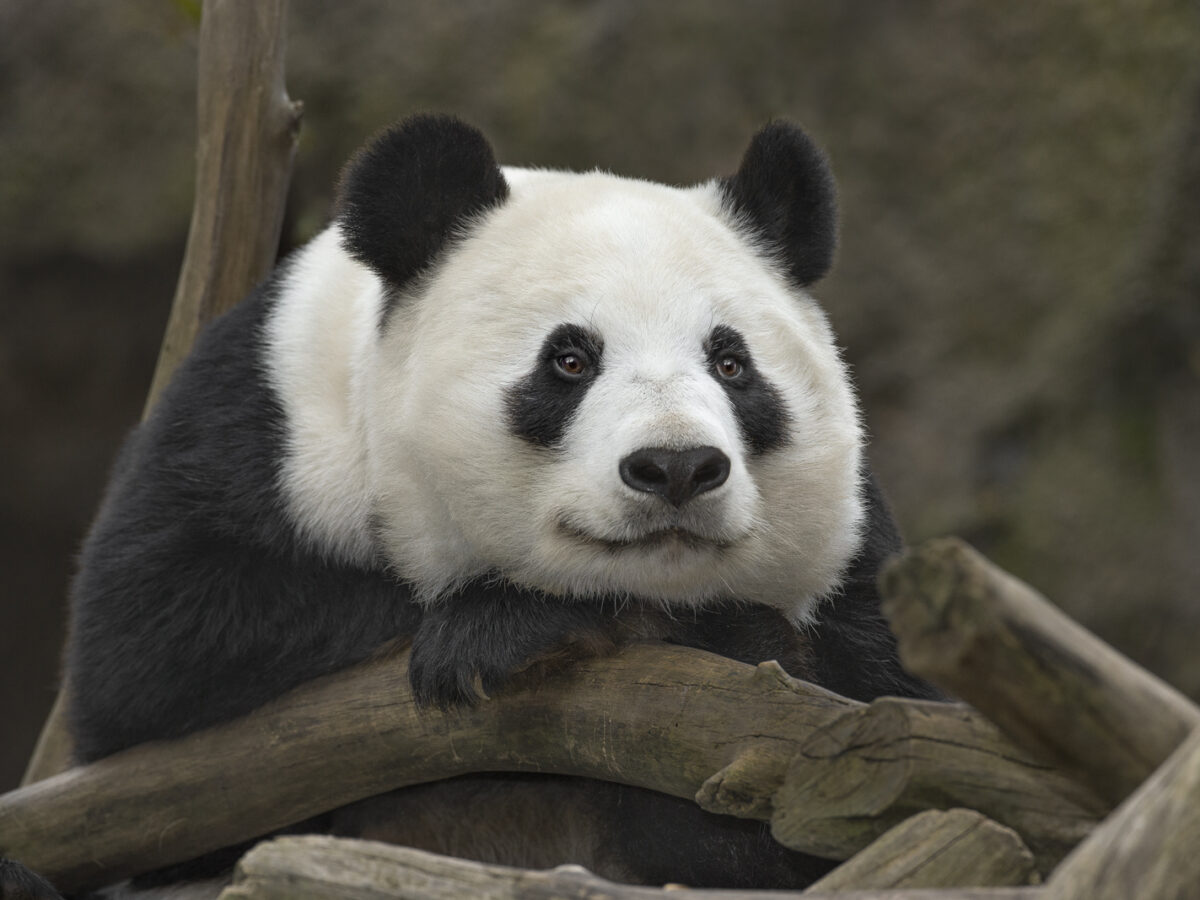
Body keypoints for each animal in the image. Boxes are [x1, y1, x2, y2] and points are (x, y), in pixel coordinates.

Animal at [59, 114, 935, 894]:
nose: (677, 467)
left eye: (731, 362)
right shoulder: (265, 413)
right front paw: (508, 626)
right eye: (570, 360)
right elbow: (147, 651)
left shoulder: (854, 564)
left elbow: (854, 758)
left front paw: (723, 637)